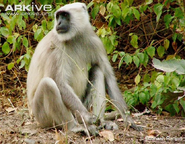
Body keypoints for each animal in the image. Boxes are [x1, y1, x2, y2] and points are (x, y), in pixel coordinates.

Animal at [26, 1, 142, 135]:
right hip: (43, 117)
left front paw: (129, 120)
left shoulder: (94, 41)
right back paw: (74, 127)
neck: (74, 37)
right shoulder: (55, 45)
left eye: (65, 15)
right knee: (48, 84)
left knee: (98, 71)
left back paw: (101, 122)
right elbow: (59, 82)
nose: (58, 23)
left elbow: (109, 77)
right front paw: (87, 117)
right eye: (58, 16)